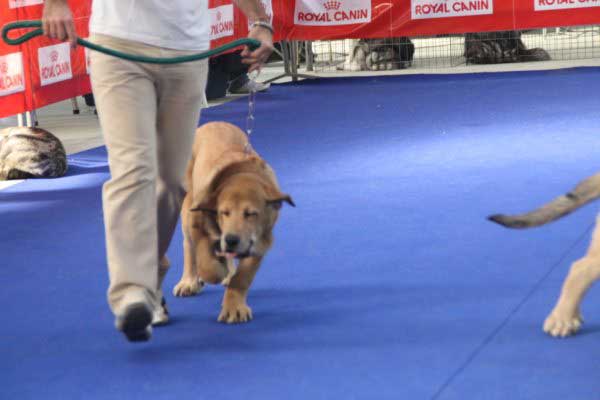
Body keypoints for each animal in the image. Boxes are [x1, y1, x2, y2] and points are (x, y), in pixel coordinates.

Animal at [171, 120, 292, 324]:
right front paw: (214, 270)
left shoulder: (260, 242)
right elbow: (205, 260)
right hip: (187, 203)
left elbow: (243, 277)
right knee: (188, 245)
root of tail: (214, 122)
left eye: (251, 214)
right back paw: (189, 281)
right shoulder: (197, 221)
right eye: (224, 212)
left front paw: (234, 307)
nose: (231, 239)